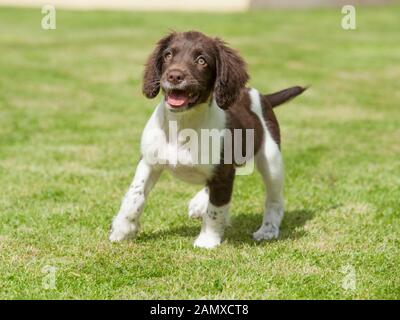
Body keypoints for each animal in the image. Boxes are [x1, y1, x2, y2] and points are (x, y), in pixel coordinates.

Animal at [108, 31, 304, 249]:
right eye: (168, 55)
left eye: (202, 61)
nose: (174, 76)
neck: (182, 124)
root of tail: (262, 97)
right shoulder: (149, 162)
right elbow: (135, 195)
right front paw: (122, 230)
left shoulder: (224, 174)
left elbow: (216, 209)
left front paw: (207, 240)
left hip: (271, 159)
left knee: (274, 199)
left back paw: (268, 230)